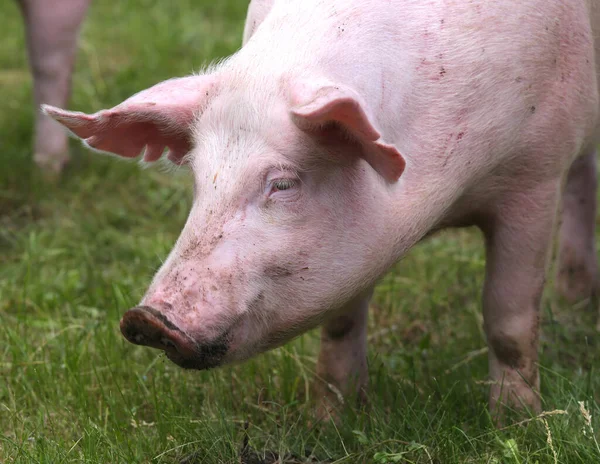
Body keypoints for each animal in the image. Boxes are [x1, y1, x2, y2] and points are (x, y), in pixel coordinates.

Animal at [45, 0, 600, 418]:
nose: (147, 318)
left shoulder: (535, 176)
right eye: (200, 180)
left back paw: (574, 304)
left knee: (584, 180)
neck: (445, 199)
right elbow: (339, 324)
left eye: (283, 183)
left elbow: (508, 319)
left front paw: (518, 424)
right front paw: (328, 420)